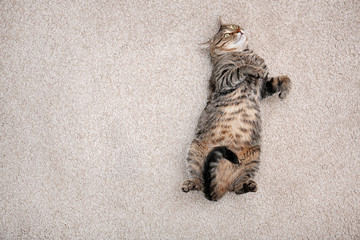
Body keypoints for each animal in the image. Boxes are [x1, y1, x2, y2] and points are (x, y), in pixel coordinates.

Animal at [181, 18, 292, 202]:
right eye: (226, 34)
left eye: (233, 26)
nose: (238, 29)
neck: (245, 53)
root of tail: (219, 187)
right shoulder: (223, 78)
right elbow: (241, 68)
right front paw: (252, 68)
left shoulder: (263, 87)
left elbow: (285, 78)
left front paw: (285, 91)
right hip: (194, 151)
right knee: (200, 181)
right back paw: (190, 184)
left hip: (254, 157)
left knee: (237, 187)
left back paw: (248, 185)